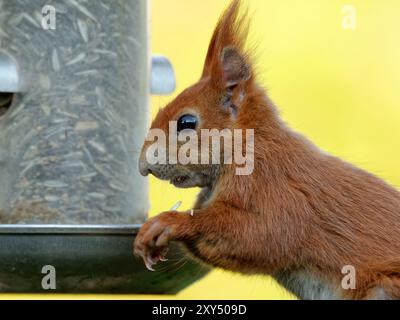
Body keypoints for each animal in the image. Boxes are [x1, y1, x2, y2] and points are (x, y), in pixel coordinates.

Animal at [135, 0, 400, 300]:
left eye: (186, 122)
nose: (143, 165)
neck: (248, 146)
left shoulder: (273, 188)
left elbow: (264, 235)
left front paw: (171, 222)